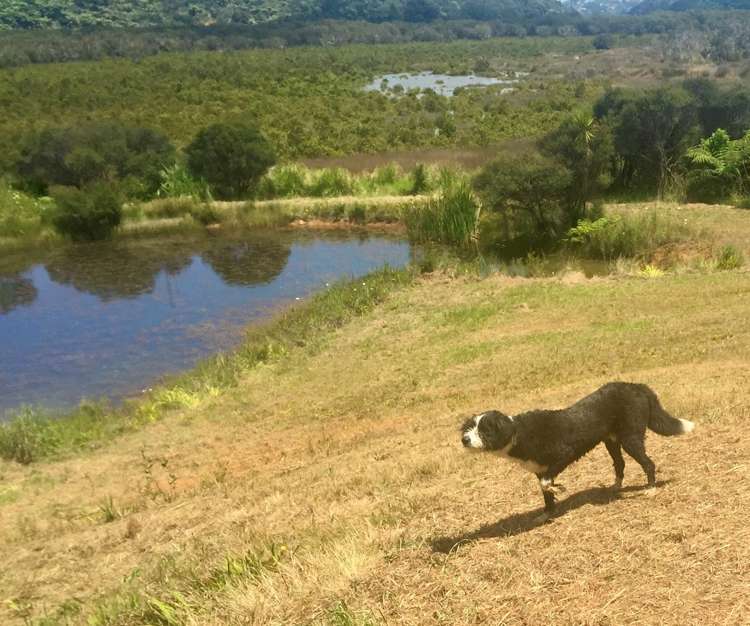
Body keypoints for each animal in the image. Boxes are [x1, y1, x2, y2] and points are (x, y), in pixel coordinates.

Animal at [462, 380, 696, 520]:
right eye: (470, 427)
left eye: (484, 430)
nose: (464, 439)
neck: (518, 433)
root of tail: (638, 387)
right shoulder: (539, 469)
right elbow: (545, 490)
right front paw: (547, 513)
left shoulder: (563, 454)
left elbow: (547, 484)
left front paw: (559, 489)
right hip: (611, 441)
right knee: (620, 464)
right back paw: (615, 487)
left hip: (631, 438)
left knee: (648, 463)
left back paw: (650, 489)